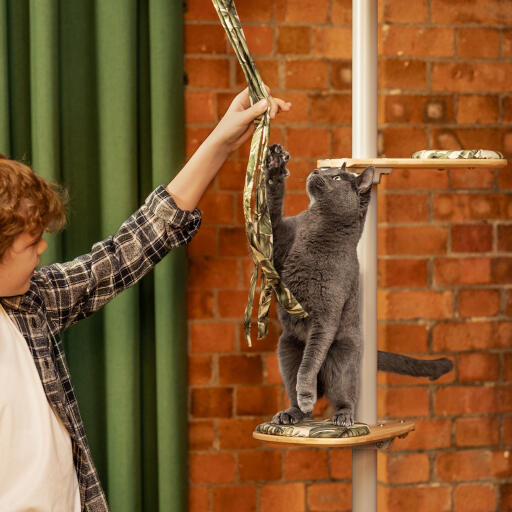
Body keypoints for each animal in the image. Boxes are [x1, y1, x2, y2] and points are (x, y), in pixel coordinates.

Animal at [264, 144, 452, 428]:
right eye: (325, 170)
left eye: (336, 178)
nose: (316, 170)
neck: (316, 226)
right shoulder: (280, 242)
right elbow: (271, 216)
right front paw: (275, 166)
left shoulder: (326, 315)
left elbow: (310, 361)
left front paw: (307, 395)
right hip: (286, 351)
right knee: (293, 384)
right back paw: (290, 413)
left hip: (343, 358)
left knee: (345, 393)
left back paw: (342, 417)